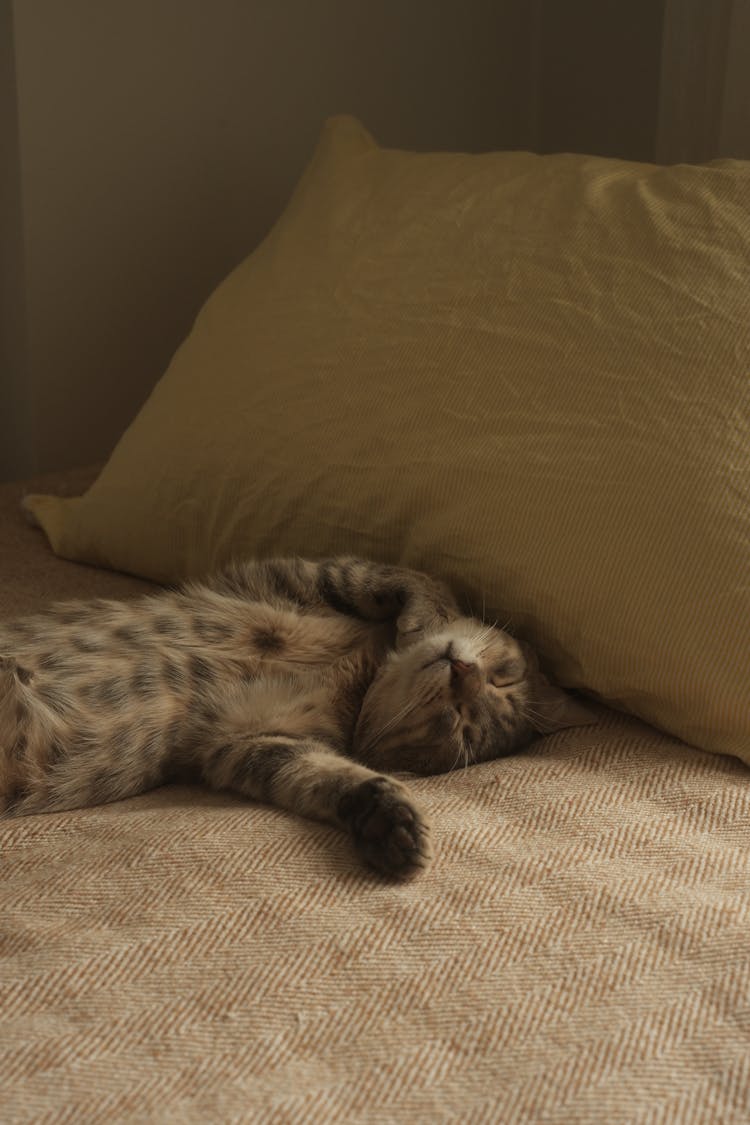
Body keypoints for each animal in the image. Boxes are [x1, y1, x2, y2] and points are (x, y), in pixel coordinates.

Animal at [0, 553, 593, 877]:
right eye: (502, 677)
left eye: (461, 723)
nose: (462, 672)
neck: (356, 674)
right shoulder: (292, 574)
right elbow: (414, 578)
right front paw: (421, 619)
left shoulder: (247, 743)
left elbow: (329, 777)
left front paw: (390, 825)